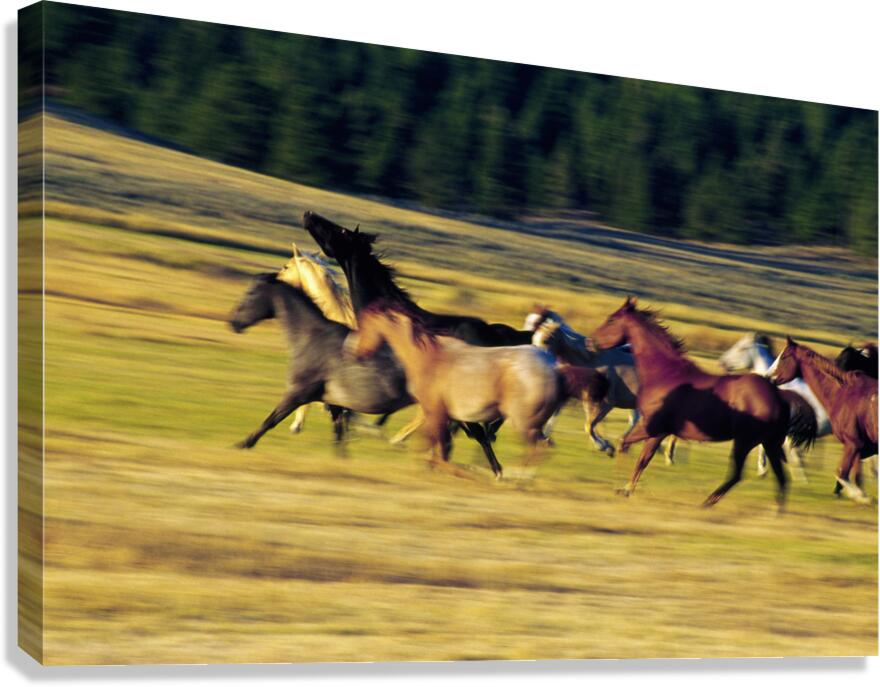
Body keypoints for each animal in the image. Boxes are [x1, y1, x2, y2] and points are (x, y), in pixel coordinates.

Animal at [347, 298, 605, 477]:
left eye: (365, 323)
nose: (357, 352)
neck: (428, 357)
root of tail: (554, 369)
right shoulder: (445, 415)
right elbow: (440, 446)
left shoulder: (436, 412)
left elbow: (437, 448)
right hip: (529, 423)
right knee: (544, 446)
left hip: (524, 423)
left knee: (540, 448)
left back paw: (515, 477)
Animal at [526, 307, 677, 464]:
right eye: (534, 338)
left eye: (546, 340)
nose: (535, 361)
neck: (592, 361)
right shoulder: (587, 400)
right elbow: (589, 424)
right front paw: (607, 446)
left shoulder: (607, 403)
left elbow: (589, 425)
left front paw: (604, 447)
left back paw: (668, 455)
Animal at [591, 297, 816, 509]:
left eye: (611, 319)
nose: (591, 342)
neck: (666, 374)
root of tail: (779, 395)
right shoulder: (659, 432)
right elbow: (641, 457)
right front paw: (625, 487)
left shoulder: (651, 427)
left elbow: (626, 446)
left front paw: (621, 487)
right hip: (769, 443)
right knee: (781, 478)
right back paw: (776, 512)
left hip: (745, 441)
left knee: (737, 474)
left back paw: (708, 502)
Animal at [769, 338, 878, 504]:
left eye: (784, 357)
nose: (767, 377)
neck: (843, 394)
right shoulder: (859, 447)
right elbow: (852, 473)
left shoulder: (854, 443)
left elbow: (842, 473)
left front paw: (860, 496)